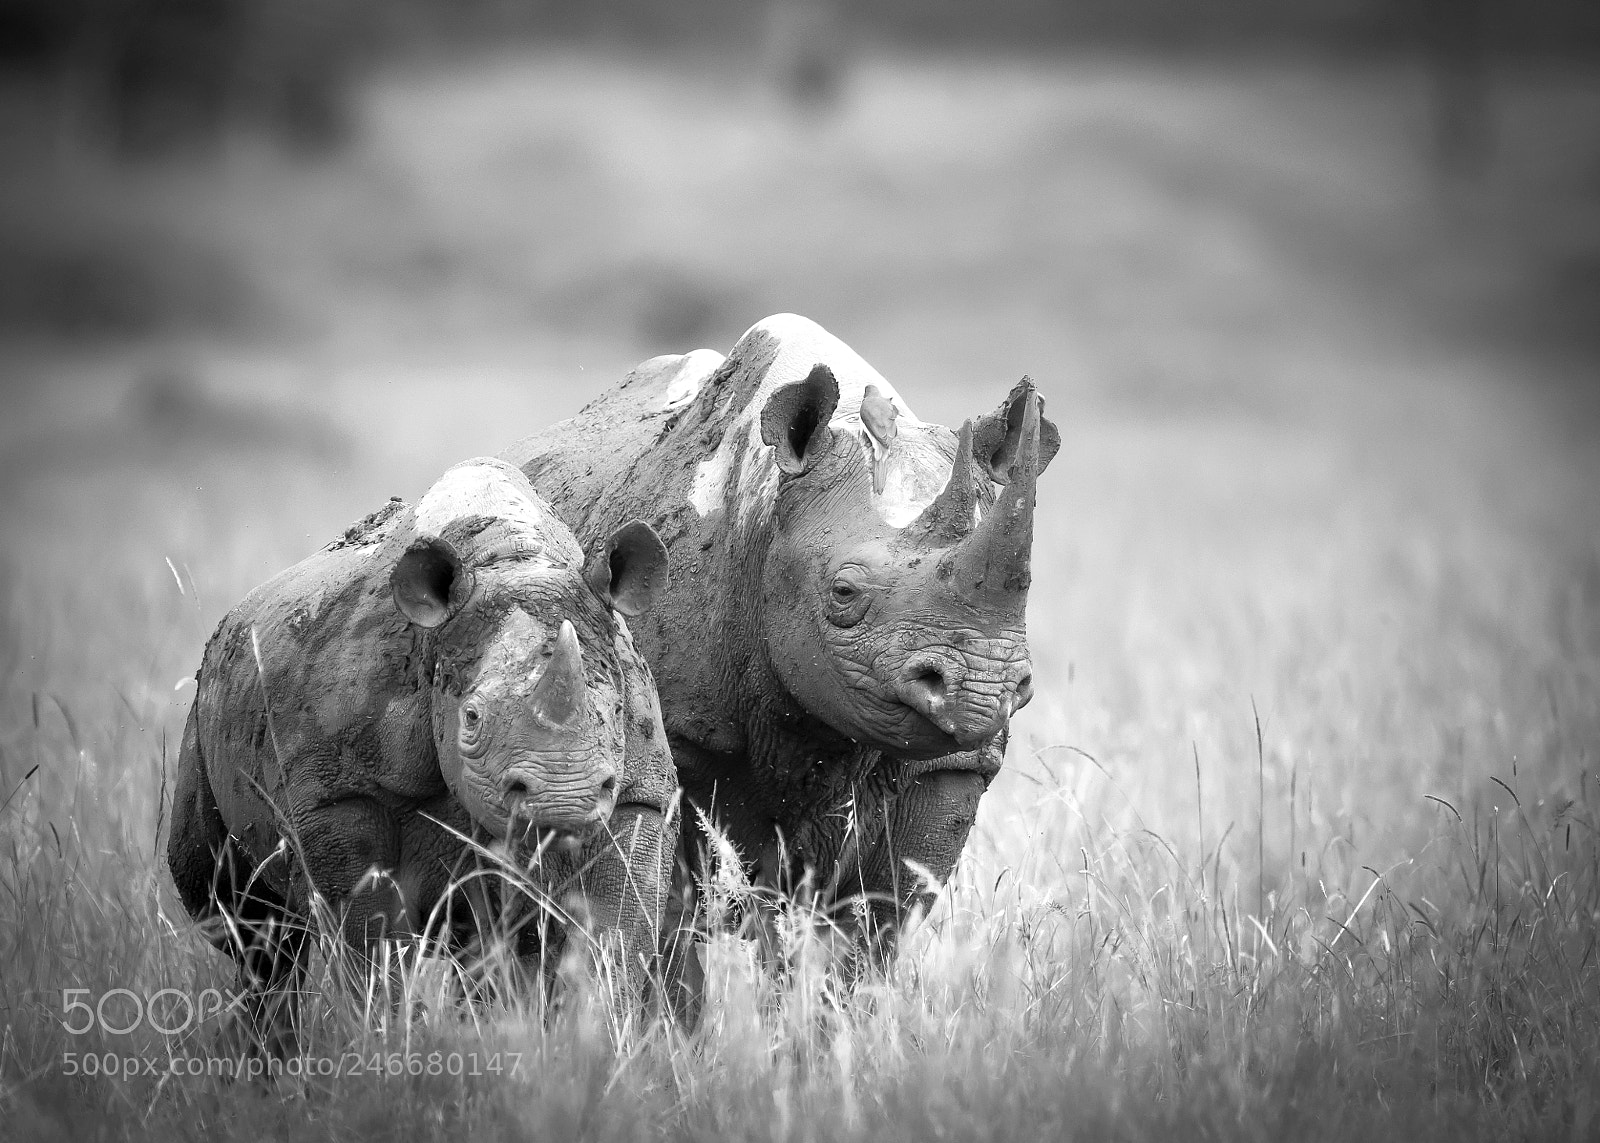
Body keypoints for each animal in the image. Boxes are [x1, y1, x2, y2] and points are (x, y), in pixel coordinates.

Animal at [166, 457, 675, 1043]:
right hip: (208, 710)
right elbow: (370, 943)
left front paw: (597, 1037)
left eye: (615, 714)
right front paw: (390, 1042)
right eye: (471, 718)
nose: (561, 802)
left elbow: (616, 931)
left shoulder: (637, 793)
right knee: (243, 924)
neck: (509, 560)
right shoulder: (338, 796)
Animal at [502, 314, 1057, 978]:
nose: (984, 685)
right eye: (843, 592)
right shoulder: (682, 735)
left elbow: (881, 917)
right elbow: (683, 904)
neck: (771, 510)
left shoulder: (951, 766)